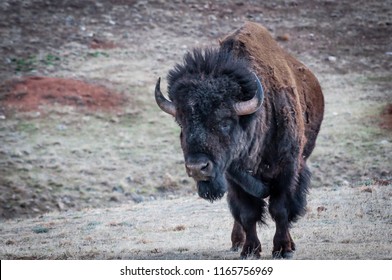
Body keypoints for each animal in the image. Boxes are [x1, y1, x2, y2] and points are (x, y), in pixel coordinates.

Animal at [155, 20, 324, 260]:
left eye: (226, 121)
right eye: (181, 122)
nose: (197, 167)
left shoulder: (288, 170)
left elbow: (280, 210)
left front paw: (283, 249)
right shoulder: (233, 177)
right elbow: (247, 214)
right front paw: (250, 250)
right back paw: (237, 242)